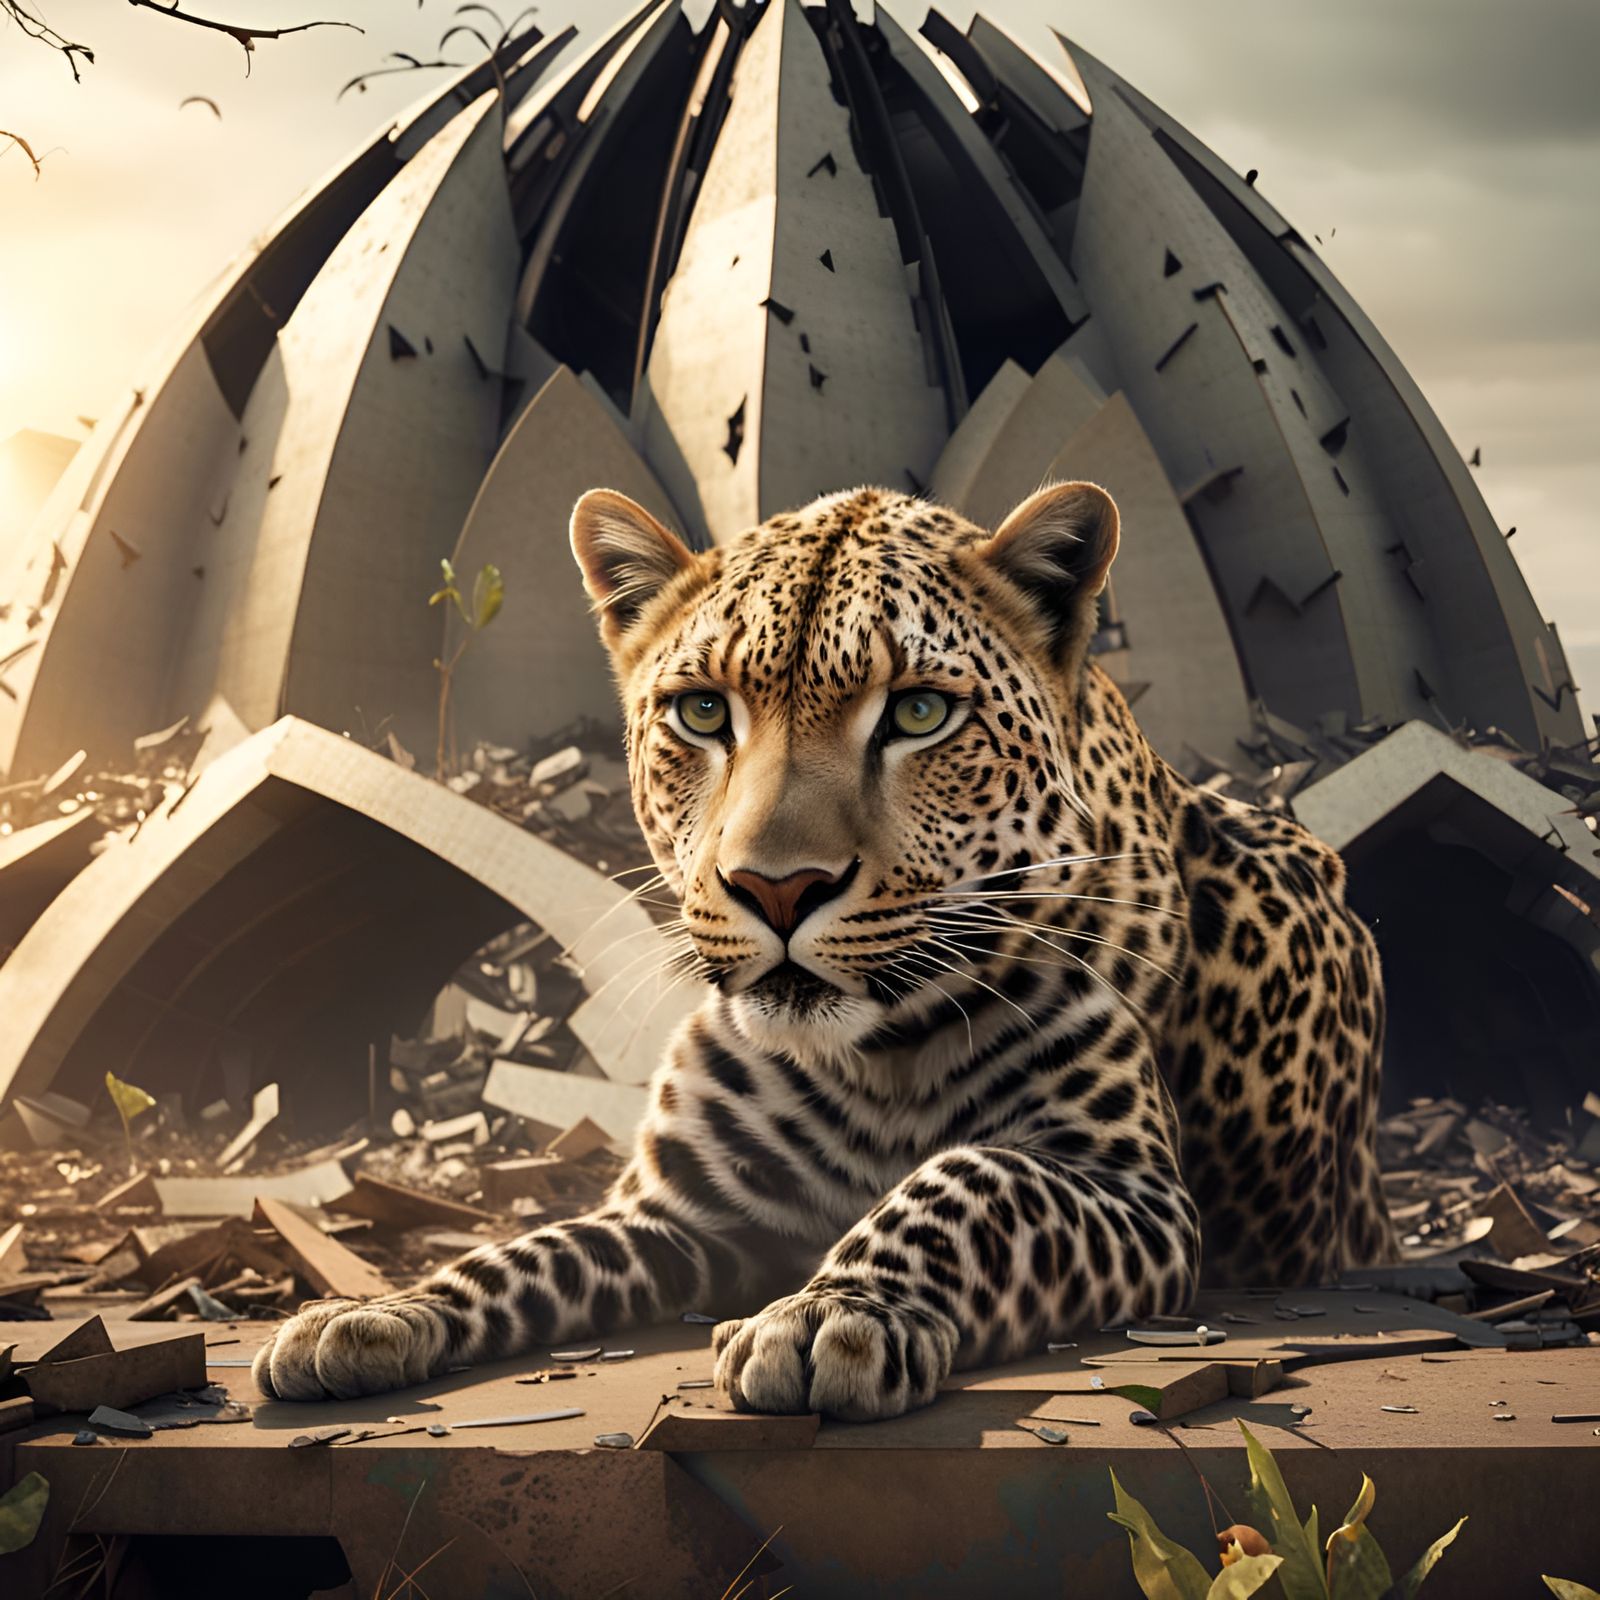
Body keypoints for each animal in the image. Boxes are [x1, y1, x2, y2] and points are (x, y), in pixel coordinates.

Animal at [253, 480, 1396, 1422]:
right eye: (702, 711)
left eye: (920, 712)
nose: (775, 886)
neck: (872, 1054)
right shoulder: (681, 1214)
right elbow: (530, 1249)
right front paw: (379, 1313)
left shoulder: (1129, 1185)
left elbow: (970, 1177)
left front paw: (828, 1313)